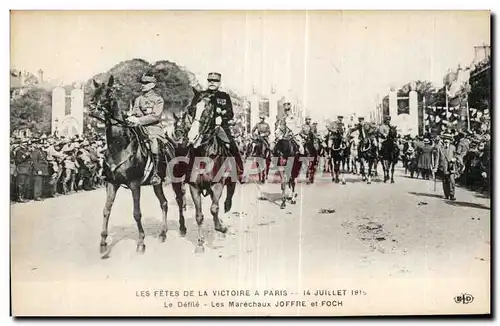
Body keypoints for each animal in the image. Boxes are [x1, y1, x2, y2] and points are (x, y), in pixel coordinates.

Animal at [88, 75, 186, 256]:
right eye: (95, 91)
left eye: (108, 92)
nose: (91, 107)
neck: (120, 146)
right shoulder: (111, 183)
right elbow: (106, 210)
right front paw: (103, 244)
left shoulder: (134, 184)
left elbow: (137, 213)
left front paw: (141, 242)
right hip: (157, 183)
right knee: (164, 203)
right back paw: (162, 233)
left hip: (175, 180)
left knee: (179, 200)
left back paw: (182, 228)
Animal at [174, 88, 238, 253]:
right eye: (192, 109)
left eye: (209, 111)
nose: (191, 136)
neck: (204, 153)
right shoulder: (194, 187)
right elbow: (199, 216)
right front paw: (200, 244)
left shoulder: (218, 184)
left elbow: (214, 209)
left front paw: (221, 228)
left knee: (226, 202)